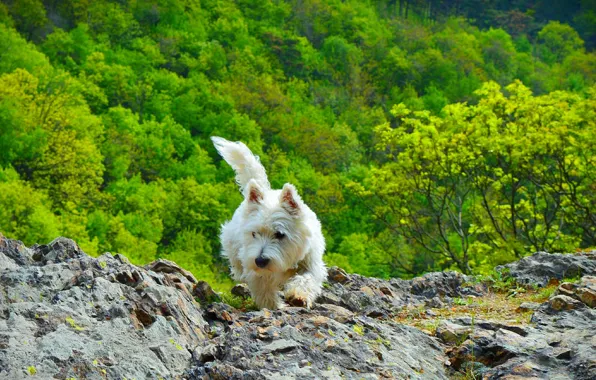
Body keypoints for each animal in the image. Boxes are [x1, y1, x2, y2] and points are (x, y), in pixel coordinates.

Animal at [212, 137, 328, 308]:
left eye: (280, 234)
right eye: (254, 234)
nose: (260, 261)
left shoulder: (311, 262)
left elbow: (307, 278)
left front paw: (298, 296)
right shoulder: (256, 271)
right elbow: (264, 290)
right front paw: (273, 306)